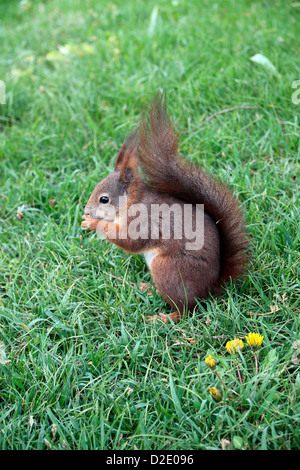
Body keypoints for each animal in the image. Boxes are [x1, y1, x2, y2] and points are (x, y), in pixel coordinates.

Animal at [81, 93, 247, 324]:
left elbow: (130, 241)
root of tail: (209, 289)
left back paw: (164, 318)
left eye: (104, 199)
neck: (131, 201)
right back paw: (147, 288)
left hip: (167, 269)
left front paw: (93, 224)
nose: (87, 211)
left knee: (187, 309)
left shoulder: (143, 221)